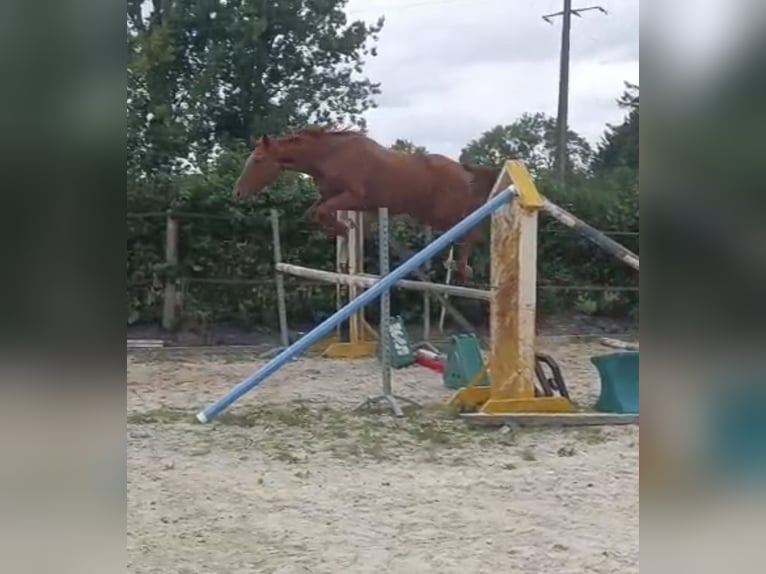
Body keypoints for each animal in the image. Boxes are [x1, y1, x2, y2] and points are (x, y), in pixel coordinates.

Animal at [233, 126, 501, 282]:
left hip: (442, 215)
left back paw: (463, 269)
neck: (328, 156)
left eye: (258, 160)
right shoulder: (334, 198)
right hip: (432, 216)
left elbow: (323, 212)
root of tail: (463, 170)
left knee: (472, 230)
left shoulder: (355, 198)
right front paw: (347, 234)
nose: (237, 192)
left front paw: (346, 230)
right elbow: (314, 213)